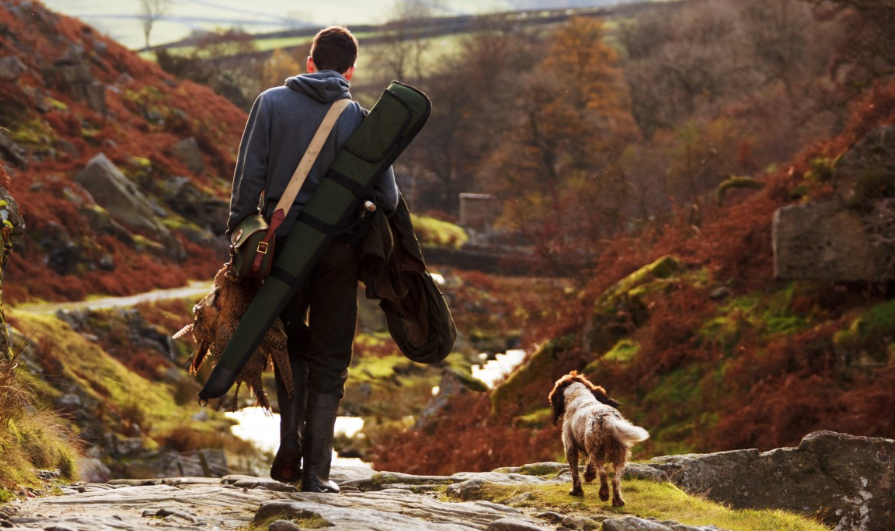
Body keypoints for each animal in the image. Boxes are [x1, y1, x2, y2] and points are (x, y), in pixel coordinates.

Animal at [548, 372, 648, 504]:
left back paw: (604, 494)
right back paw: (618, 501)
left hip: (597, 451)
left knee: (603, 472)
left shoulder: (570, 448)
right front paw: (589, 475)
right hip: (619, 454)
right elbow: (589, 465)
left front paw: (576, 491)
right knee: (615, 478)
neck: (578, 395)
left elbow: (575, 473)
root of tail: (607, 417)